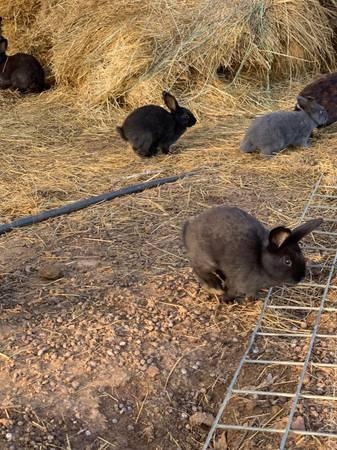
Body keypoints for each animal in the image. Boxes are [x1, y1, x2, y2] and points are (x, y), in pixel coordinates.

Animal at [182, 207, 322, 298]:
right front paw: (226, 300)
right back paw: (215, 288)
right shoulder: (238, 282)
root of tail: (188, 228)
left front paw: (252, 299)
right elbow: (231, 291)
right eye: (287, 261)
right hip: (206, 259)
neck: (260, 261)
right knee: (199, 269)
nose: (301, 277)